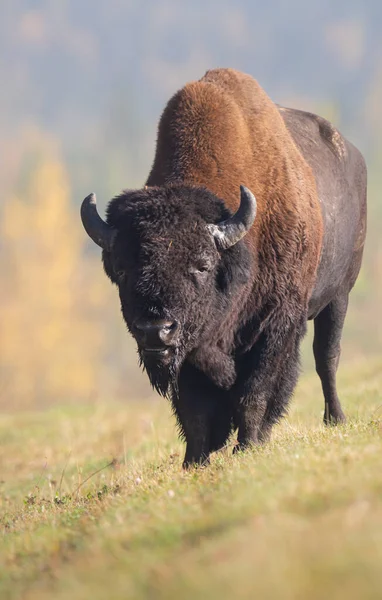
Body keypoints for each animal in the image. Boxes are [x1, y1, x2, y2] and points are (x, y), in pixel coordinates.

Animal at [80, 68, 368, 466]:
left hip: (339, 296)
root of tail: (353, 155)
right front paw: (194, 462)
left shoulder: (275, 324)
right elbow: (195, 412)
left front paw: (248, 446)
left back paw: (335, 419)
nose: (155, 330)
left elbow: (254, 393)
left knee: (327, 357)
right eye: (121, 270)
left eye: (202, 266)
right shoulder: (190, 352)